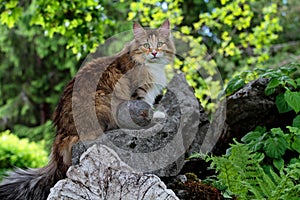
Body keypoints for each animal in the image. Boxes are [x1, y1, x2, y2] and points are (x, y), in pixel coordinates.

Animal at [0, 19, 176, 200]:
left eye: (159, 44)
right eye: (146, 45)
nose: (154, 52)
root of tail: (61, 133)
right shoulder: (139, 93)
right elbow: (145, 109)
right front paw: (157, 115)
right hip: (103, 100)